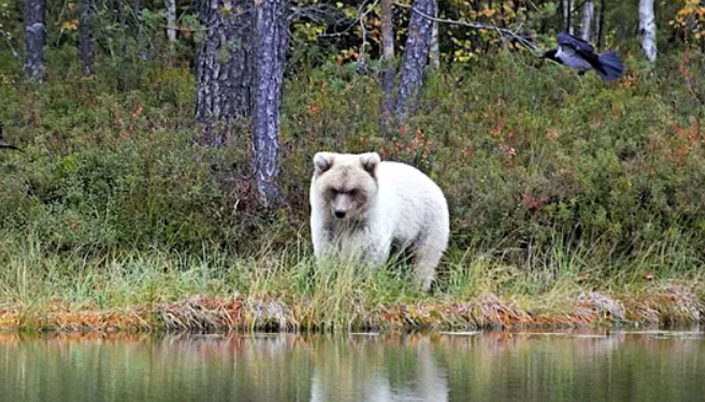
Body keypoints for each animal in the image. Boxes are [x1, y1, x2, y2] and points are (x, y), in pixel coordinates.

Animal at [310, 151, 452, 288]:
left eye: (353, 190)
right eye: (334, 189)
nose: (340, 212)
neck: (349, 221)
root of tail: (431, 182)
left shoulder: (368, 224)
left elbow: (369, 251)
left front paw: (363, 279)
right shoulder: (327, 223)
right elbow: (327, 251)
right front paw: (329, 277)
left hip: (427, 221)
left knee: (424, 257)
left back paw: (418, 286)